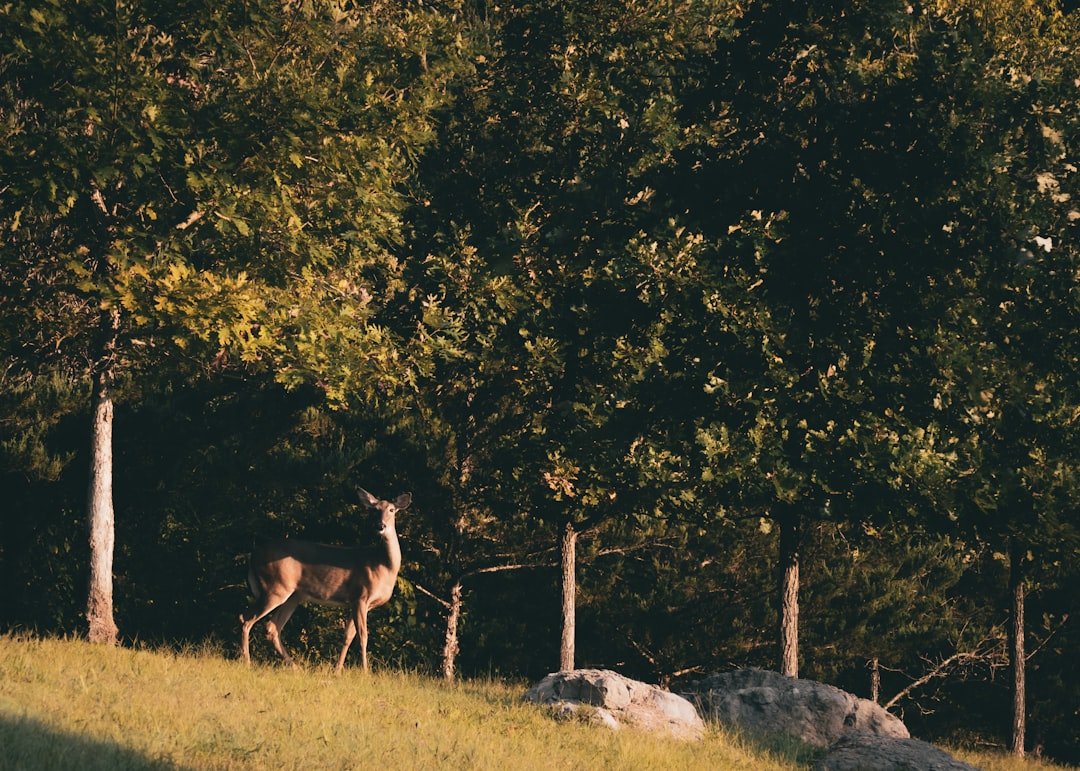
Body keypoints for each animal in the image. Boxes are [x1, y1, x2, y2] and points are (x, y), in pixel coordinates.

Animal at [239, 488, 411, 672]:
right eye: (374, 510)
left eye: (392, 510)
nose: (380, 526)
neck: (383, 565)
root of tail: (253, 555)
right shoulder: (360, 596)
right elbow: (363, 636)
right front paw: (365, 671)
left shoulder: (356, 602)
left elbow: (348, 636)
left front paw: (337, 671)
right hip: (275, 587)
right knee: (246, 618)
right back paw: (247, 662)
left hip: (293, 595)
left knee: (272, 627)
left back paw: (295, 667)